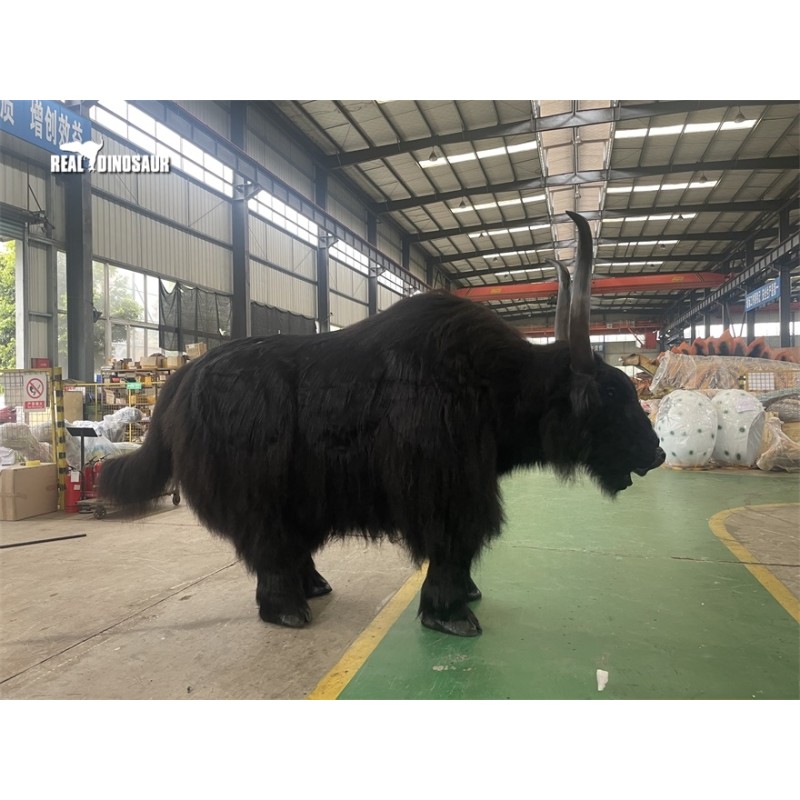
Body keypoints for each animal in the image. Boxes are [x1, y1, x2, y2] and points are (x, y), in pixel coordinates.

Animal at [98, 212, 665, 637]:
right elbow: (454, 544)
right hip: (257, 494)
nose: (657, 453)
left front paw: (465, 595)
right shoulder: (447, 488)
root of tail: (183, 378)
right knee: (270, 547)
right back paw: (288, 608)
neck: (491, 383)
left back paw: (313, 586)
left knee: (288, 544)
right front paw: (451, 612)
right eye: (611, 393)